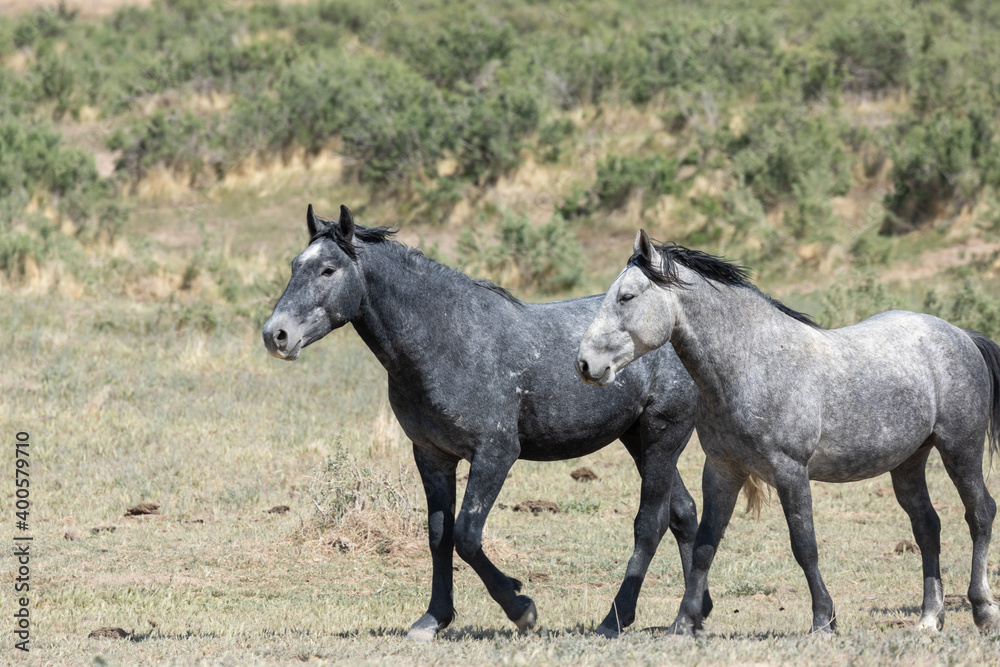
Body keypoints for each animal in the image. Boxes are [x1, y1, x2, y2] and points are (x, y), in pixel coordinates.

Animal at [260, 206, 712, 640]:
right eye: (295, 264)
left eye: (328, 270)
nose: (275, 335)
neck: (447, 340)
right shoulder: (432, 456)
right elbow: (439, 536)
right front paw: (433, 619)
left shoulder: (495, 453)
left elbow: (467, 536)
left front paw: (521, 607)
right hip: (638, 439)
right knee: (684, 513)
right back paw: (696, 613)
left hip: (662, 435)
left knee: (650, 524)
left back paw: (616, 620)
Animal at [576, 232, 1000, 640]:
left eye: (626, 297)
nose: (584, 363)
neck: (756, 364)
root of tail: (961, 334)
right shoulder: (722, 470)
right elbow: (705, 546)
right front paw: (684, 623)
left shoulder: (790, 472)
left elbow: (804, 546)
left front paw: (823, 620)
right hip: (908, 463)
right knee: (927, 526)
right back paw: (930, 618)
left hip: (960, 450)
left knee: (980, 512)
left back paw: (983, 611)